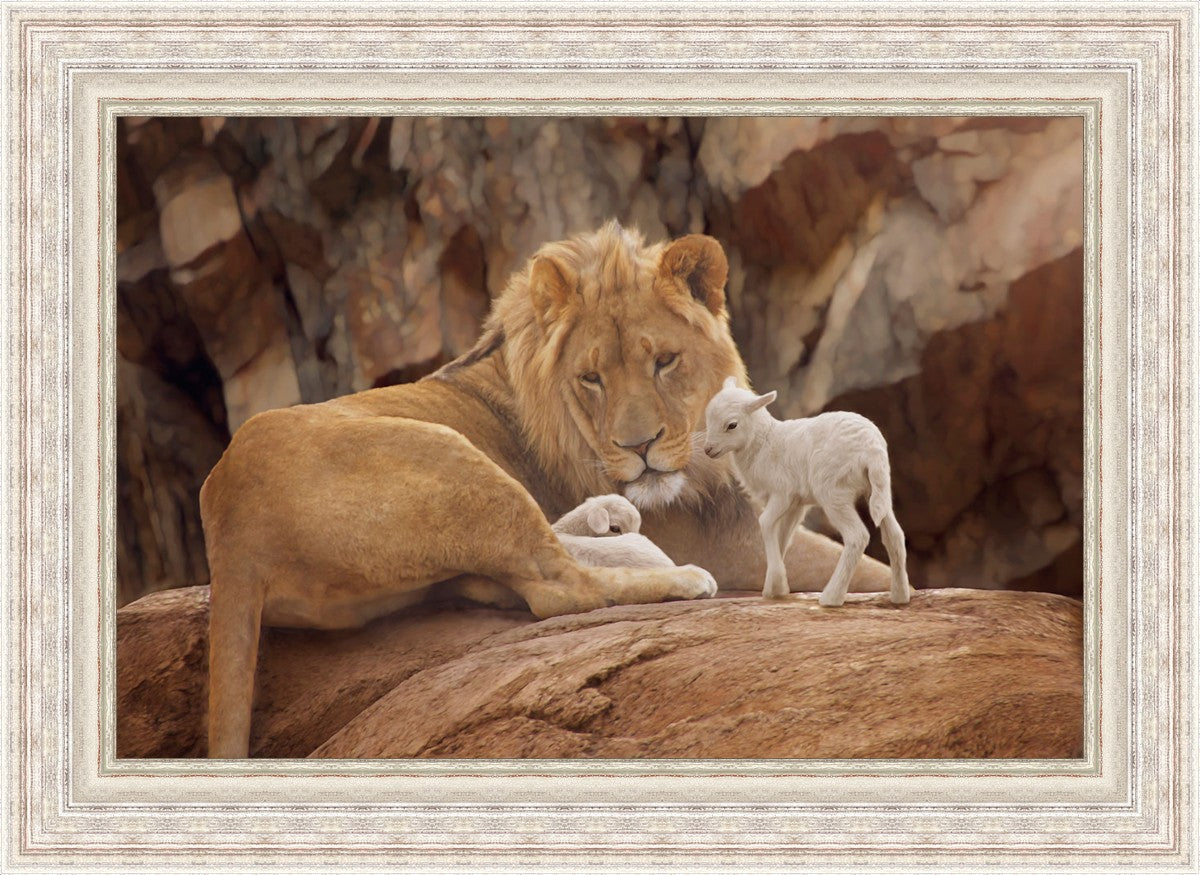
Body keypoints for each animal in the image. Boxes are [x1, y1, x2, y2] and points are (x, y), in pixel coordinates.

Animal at [702, 377, 911, 607]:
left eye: (732, 425)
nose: (708, 450)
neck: (763, 442)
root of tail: (872, 449)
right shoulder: (796, 503)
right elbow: (783, 535)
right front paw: (775, 587)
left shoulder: (782, 493)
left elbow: (765, 523)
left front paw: (776, 583)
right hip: (879, 488)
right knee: (895, 535)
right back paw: (900, 596)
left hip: (833, 491)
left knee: (857, 536)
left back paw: (831, 597)